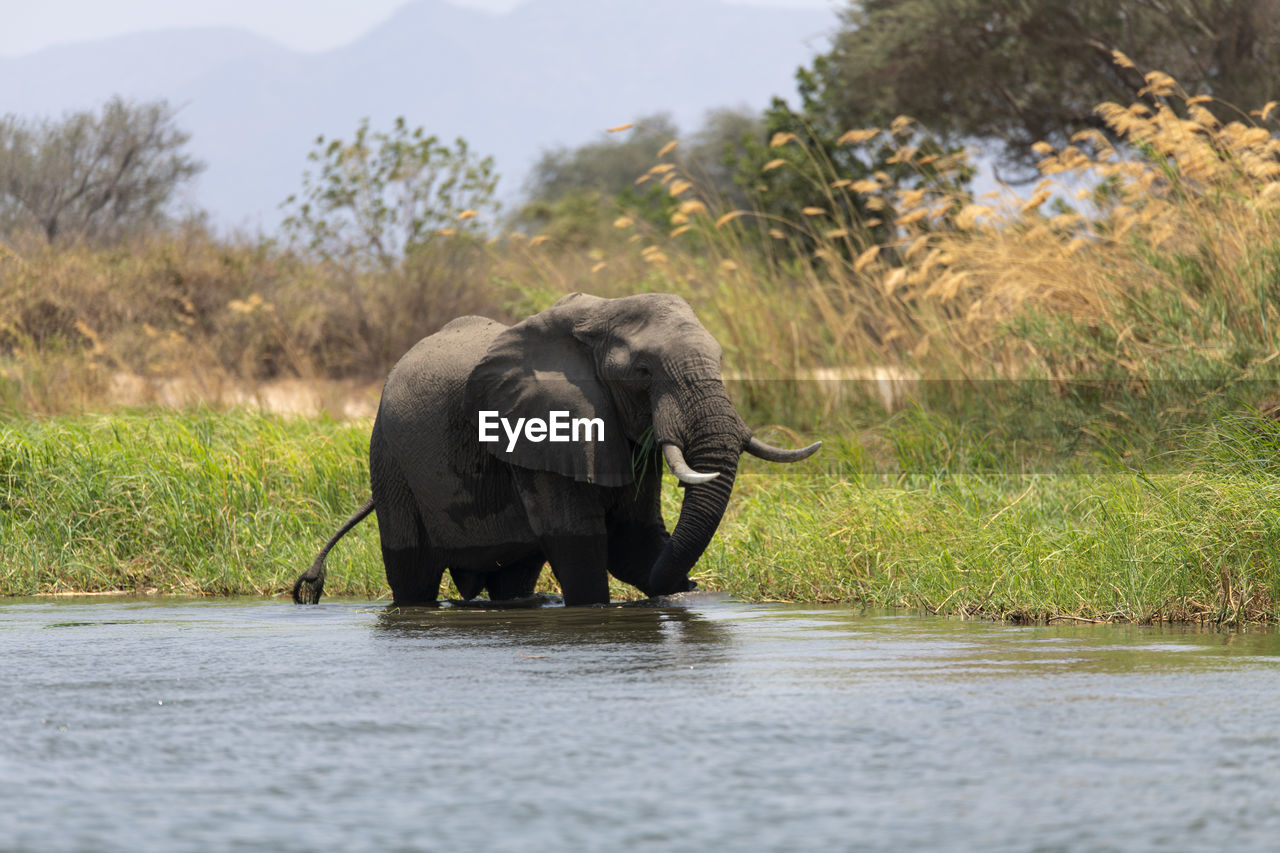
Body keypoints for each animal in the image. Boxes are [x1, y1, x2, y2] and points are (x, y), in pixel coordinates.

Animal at [293, 292, 819, 604]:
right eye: (643, 372)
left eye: (723, 360)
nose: (688, 587)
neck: (599, 317)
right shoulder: (541, 428)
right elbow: (581, 543)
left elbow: (632, 538)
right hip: (389, 457)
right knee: (413, 576)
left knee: (512, 576)